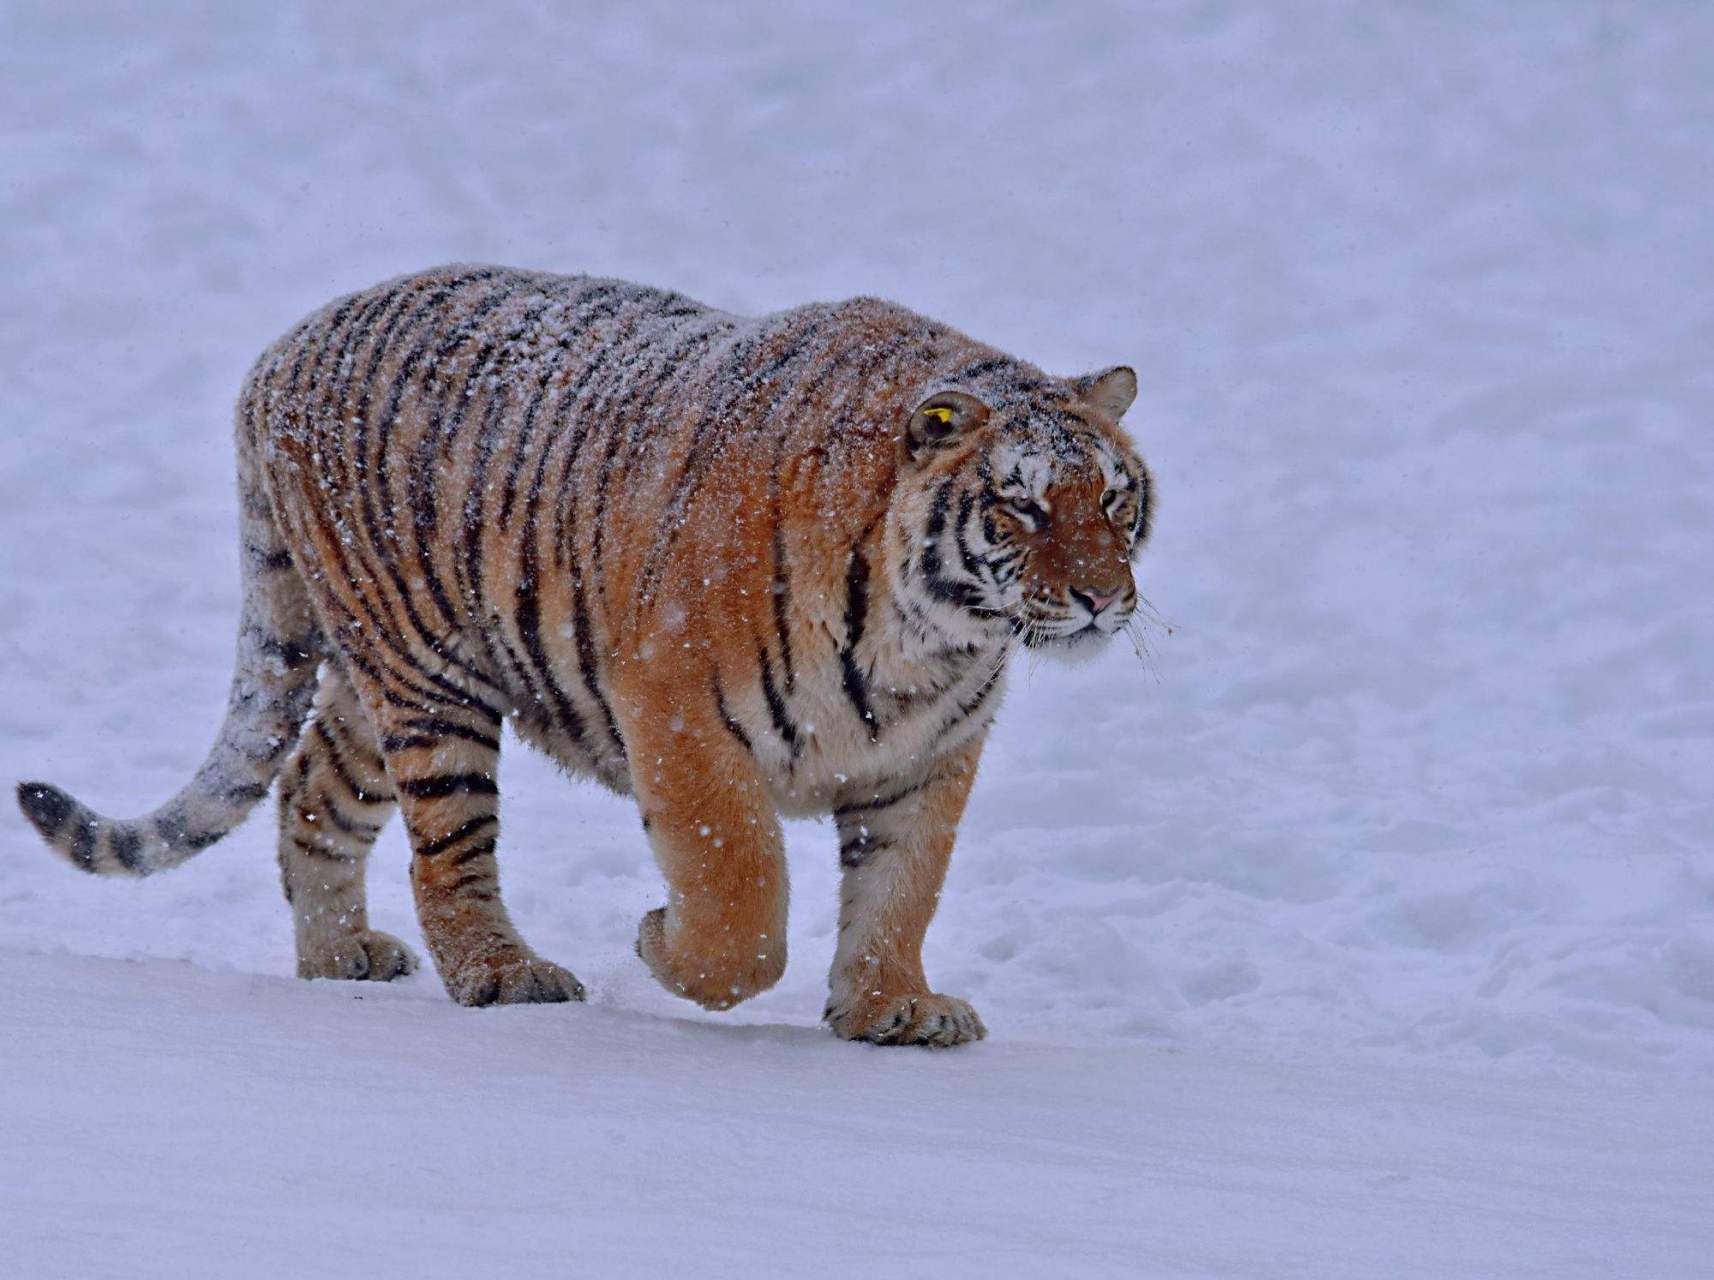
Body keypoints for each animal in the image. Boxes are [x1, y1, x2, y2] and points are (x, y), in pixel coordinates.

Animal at [17, 264, 1152, 1047]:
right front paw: (660, 943)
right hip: (431, 685)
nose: (1102, 597)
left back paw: (340, 955)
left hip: (374, 684)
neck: (929, 638)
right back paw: (503, 975)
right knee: (448, 853)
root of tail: (281, 352)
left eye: (1112, 500)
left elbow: (901, 889)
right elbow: (740, 894)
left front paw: (891, 1009)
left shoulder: (926, 757)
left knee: (308, 788)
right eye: (1021, 505)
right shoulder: (681, 711)